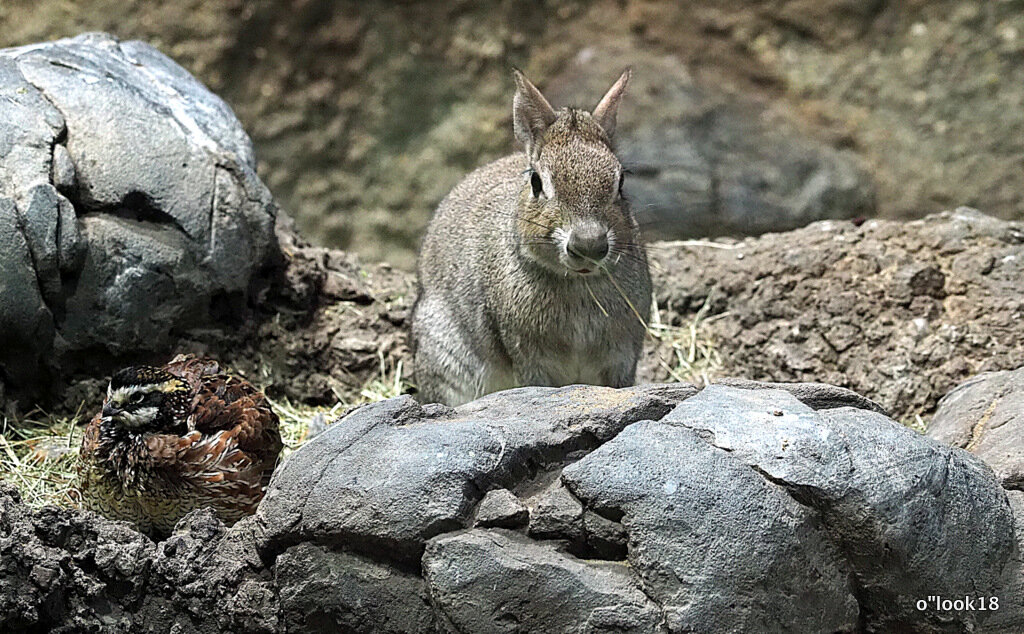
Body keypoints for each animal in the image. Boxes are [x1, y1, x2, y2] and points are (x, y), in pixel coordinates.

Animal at [407, 68, 647, 407]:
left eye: (621, 181)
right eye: (536, 182)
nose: (589, 245)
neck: (577, 282)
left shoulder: (621, 354)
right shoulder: (529, 356)